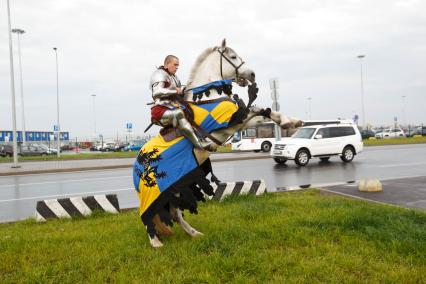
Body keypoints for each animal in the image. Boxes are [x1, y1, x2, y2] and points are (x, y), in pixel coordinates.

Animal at [133, 38, 302, 247]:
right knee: (148, 216)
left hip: (175, 190)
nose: (251, 74)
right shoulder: (230, 124)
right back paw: (155, 241)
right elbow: (257, 109)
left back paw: (194, 233)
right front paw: (288, 121)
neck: (208, 95)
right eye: (233, 56)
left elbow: (263, 112)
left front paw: (291, 121)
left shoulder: (240, 119)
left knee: (175, 213)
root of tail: (137, 167)